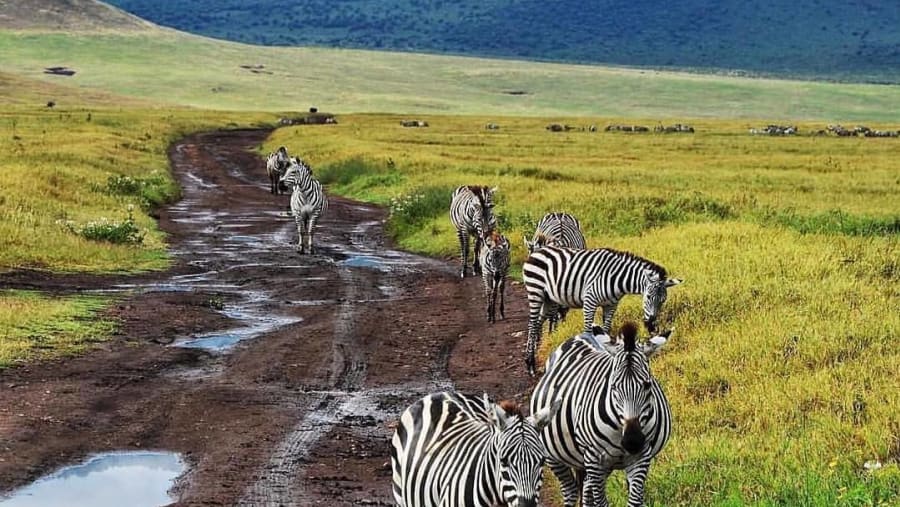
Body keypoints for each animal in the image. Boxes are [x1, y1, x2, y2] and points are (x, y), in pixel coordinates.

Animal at [521, 246, 682, 376]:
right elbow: (587, 330)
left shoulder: (611, 305)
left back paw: (533, 356)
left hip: (549, 299)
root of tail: (538, 251)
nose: (651, 326)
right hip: (535, 291)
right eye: (647, 296)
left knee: (538, 323)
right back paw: (530, 364)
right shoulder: (589, 301)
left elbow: (606, 330)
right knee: (532, 324)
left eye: (663, 301)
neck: (615, 278)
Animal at [530, 322, 673, 507]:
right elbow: (601, 502)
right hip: (554, 456)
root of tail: (581, 335)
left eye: (647, 385)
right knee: (570, 490)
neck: (621, 429)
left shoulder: (641, 457)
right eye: (613, 386)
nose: (632, 442)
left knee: (585, 491)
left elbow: (634, 500)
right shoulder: (594, 459)